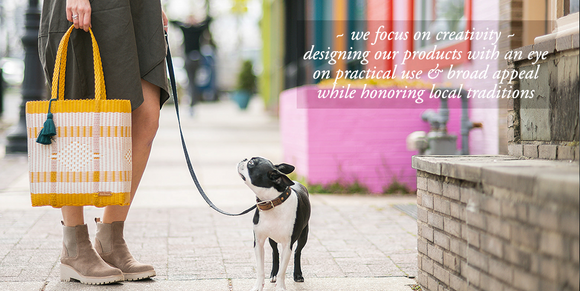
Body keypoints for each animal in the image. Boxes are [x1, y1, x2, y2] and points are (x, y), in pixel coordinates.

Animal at [236, 157, 310, 291]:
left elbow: (283, 271)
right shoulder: (258, 242)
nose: (244, 159)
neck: (272, 202)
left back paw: (298, 274)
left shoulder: (287, 244)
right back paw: (273, 274)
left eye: (251, 163)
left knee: (297, 252)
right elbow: (260, 269)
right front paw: (258, 286)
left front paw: (280, 287)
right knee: (275, 253)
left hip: (304, 235)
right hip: (272, 239)